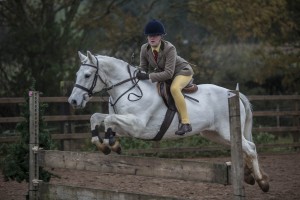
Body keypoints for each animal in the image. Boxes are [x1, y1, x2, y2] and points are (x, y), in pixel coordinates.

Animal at [68, 51, 270, 192]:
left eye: (87, 75)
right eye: (77, 73)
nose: (74, 101)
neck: (128, 90)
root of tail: (232, 93)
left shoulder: (137, 125)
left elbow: (109, 119)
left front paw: (110, 143)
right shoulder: (128, 126)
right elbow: (97, 117)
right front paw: (105, 144)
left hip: (226, 131)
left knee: (250, 147)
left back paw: (262, 182)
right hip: (215, 134)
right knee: (241, 148)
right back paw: (248, 176)